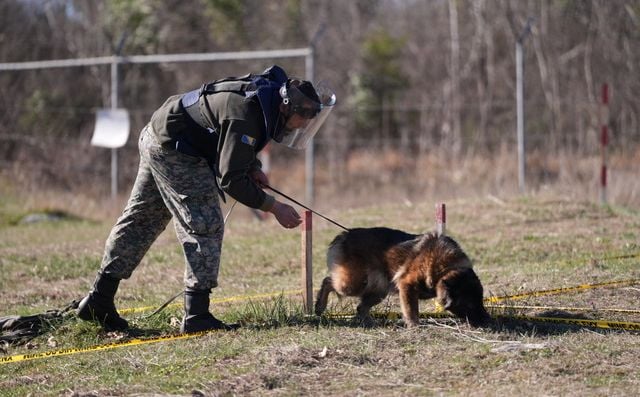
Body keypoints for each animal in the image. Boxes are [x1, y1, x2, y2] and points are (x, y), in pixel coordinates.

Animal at [316, 227, 490, 326]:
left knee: (360, 307)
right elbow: (411, 309)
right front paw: (414, 325)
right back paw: (319, 306)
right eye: (470, 304)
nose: (488, 320)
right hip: (353, 283)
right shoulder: (407, 285)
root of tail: (344, 234)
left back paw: (368, 322)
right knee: (328, 281)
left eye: (481, 300)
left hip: (378, 290)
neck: (444, 267)